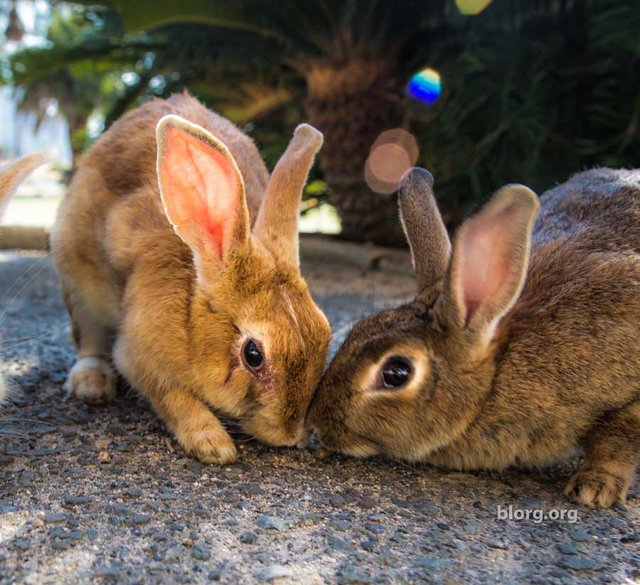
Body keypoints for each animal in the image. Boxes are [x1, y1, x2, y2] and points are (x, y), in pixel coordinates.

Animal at [51, 93, 330, 464]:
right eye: (253, 354)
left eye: (325, 332)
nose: (293, 435)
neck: (191, 321)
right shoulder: (140, 355)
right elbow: (174, 396)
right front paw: (213, 444)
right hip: (77, 280)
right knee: (89, 340)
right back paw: (92, 385)